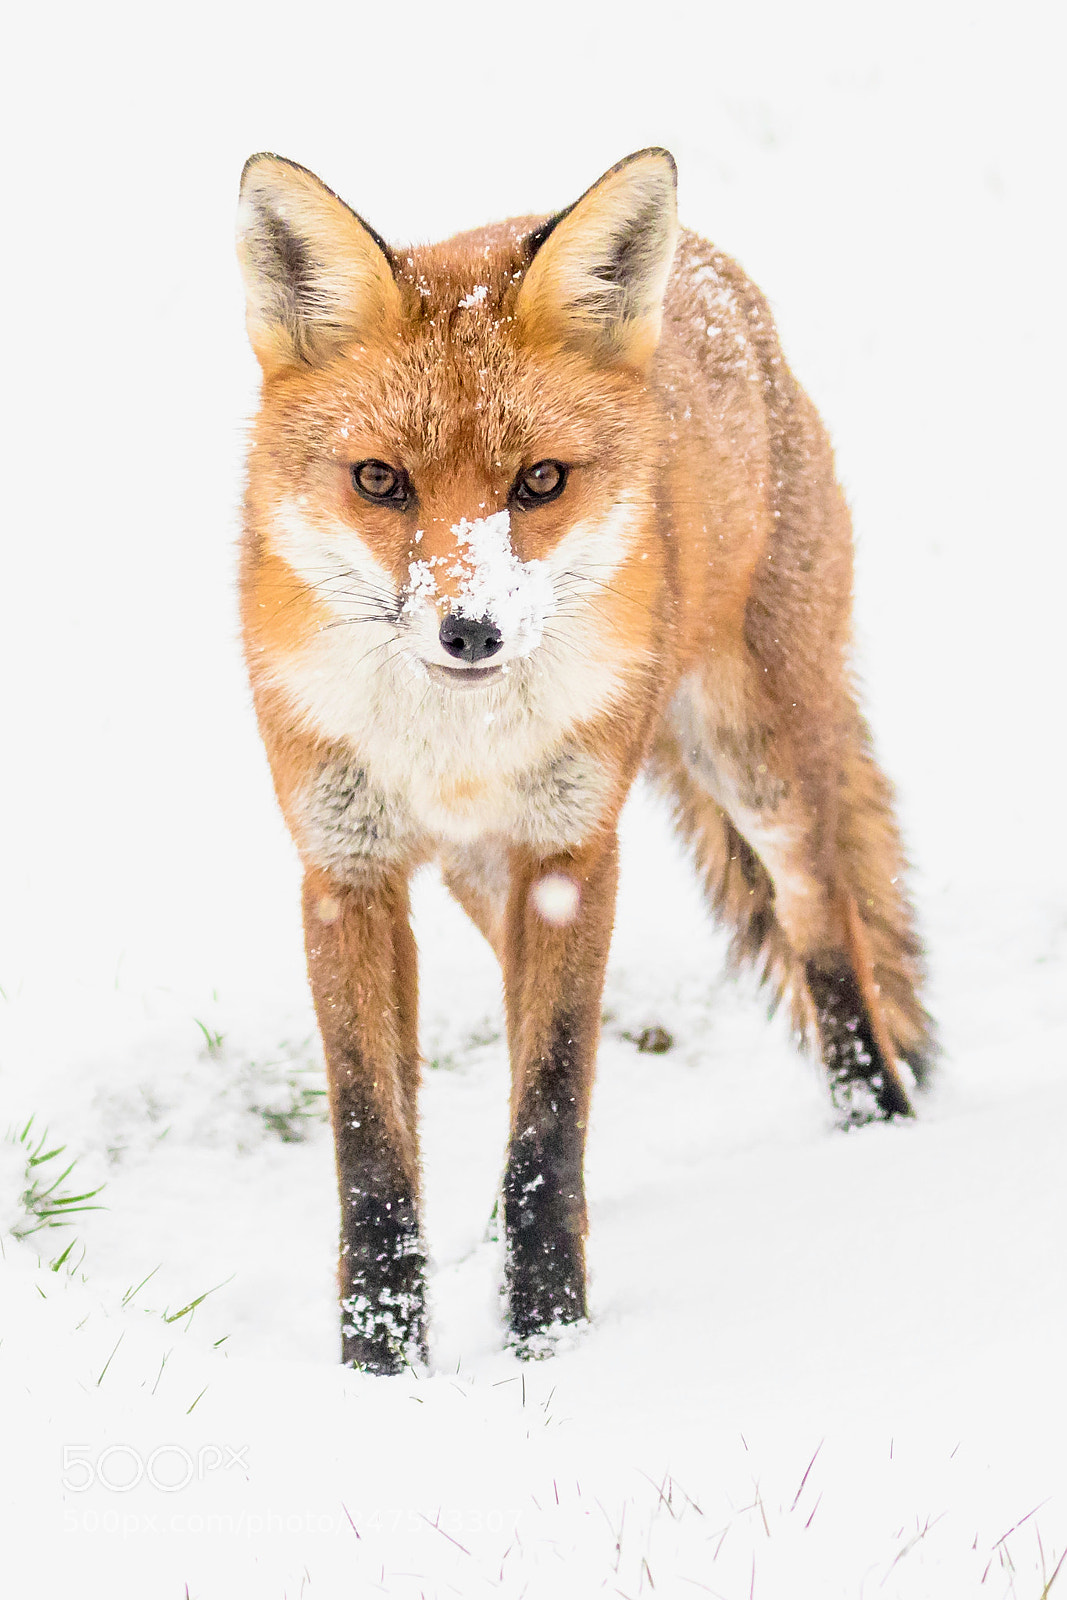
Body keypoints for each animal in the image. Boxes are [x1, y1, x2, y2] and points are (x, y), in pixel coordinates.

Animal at [235, 148, 933, 1374]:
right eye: (379, 481)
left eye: (540, 482)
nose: (470, 633)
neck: (451, 745)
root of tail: (710, 273)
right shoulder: (344, 870)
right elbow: (375, 1146)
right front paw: (381, 1365)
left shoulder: (571, 853)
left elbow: (550, 1113)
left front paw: (545, 1337)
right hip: (482, 876)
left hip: (755, 765)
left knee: (824, 923)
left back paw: (871, 1129)